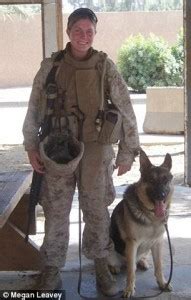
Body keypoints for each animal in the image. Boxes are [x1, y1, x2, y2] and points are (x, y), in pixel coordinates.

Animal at [107, 150, 173, 298]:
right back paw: (114, 268)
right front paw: (129, 289)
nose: (161, 195)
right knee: (120, 263)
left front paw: (162, 283)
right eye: (152, 180)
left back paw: (142, 261)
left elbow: (159, 266)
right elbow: (131, 271)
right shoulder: (132, 243)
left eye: (166, 180)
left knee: (138, 260)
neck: (150, 216)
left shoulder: (157, 242)